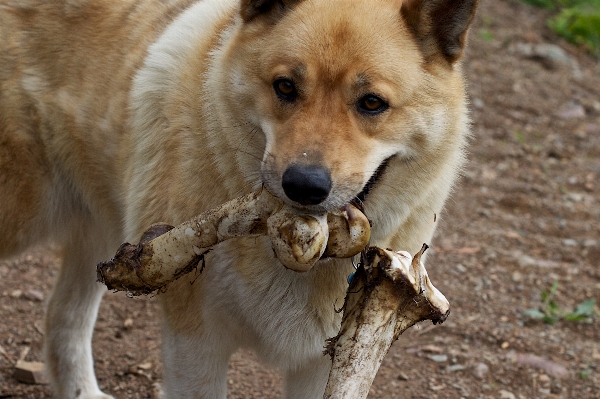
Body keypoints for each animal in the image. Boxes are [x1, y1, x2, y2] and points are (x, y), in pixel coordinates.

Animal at [0, 0, 478, 398]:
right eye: (285, 87)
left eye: (372, 103)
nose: (303, 185)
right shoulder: (194, 343)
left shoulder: (322, 363)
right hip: (26, 219)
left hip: (99, 233)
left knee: (62, 317)